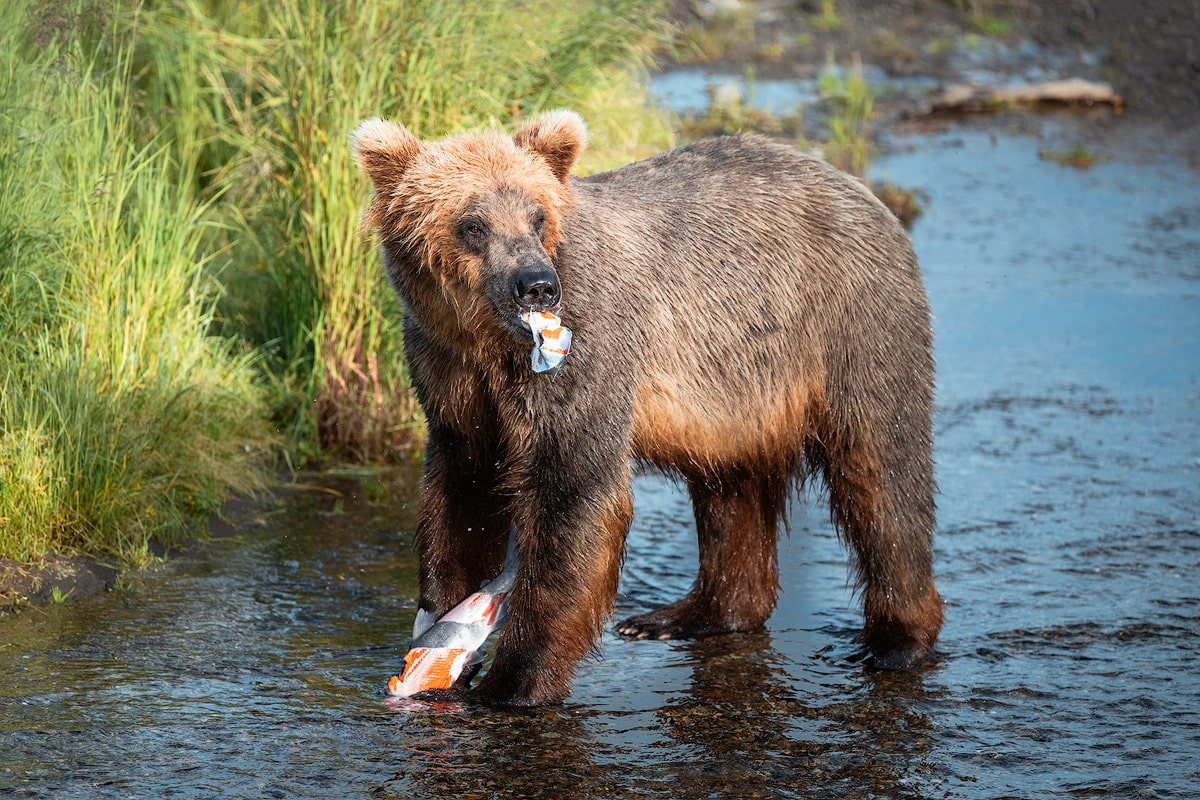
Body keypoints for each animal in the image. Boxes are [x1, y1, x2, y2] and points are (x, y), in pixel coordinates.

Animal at [350, 110, 940, 705]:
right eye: (474, 224)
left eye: (537, 217)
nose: (536, 286)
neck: (489, 343)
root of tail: (857, 189)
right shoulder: (451, 379)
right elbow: (462, 497)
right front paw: (441, 627)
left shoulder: (582, 358)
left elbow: (573, 495)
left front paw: (512, 681)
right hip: (738, 389)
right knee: (733, 487)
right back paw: (688, 616)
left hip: (849, 325)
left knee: (880, 473)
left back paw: (894, 641)